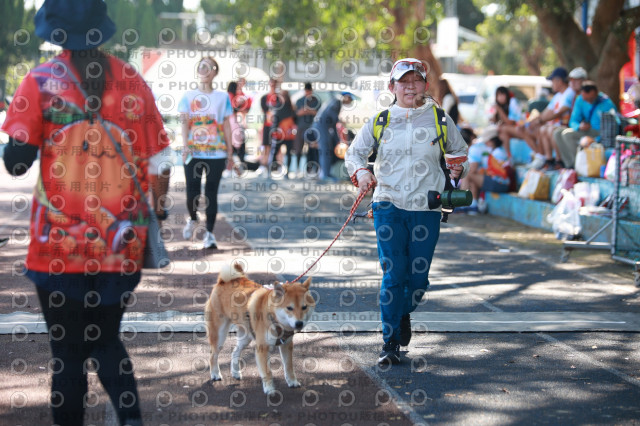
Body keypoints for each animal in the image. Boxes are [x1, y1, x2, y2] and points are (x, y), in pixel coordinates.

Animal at [205, 262, 316, 396]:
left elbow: (289, 366)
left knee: (235, 352)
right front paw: (269, 389)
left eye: (304, 307)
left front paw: (292, 382)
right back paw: (215, 374)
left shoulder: (287, 344)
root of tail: (223, 281)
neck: (274, 318)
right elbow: (267, 371)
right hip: (220, 334)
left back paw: (236, 373)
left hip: (246, 337)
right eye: (289, 308)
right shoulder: (262, 348)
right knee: (213, 355)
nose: (299, 323)